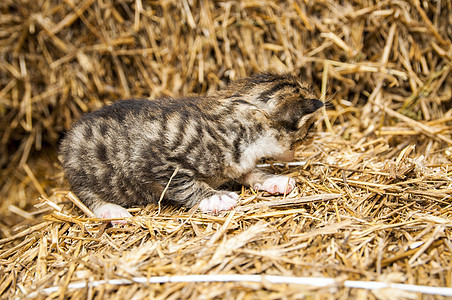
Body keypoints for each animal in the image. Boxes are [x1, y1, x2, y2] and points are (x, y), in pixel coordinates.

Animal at [60, 72, 324, 223]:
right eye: (308, 129)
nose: (298, 151)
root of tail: (68, 139)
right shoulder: (153, 160)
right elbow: (184, 183)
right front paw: (216, 198)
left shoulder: (238, 163)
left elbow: (249, 172)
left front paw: (273, 180)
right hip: (87, 169)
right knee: (84, 195)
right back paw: (112, 212)